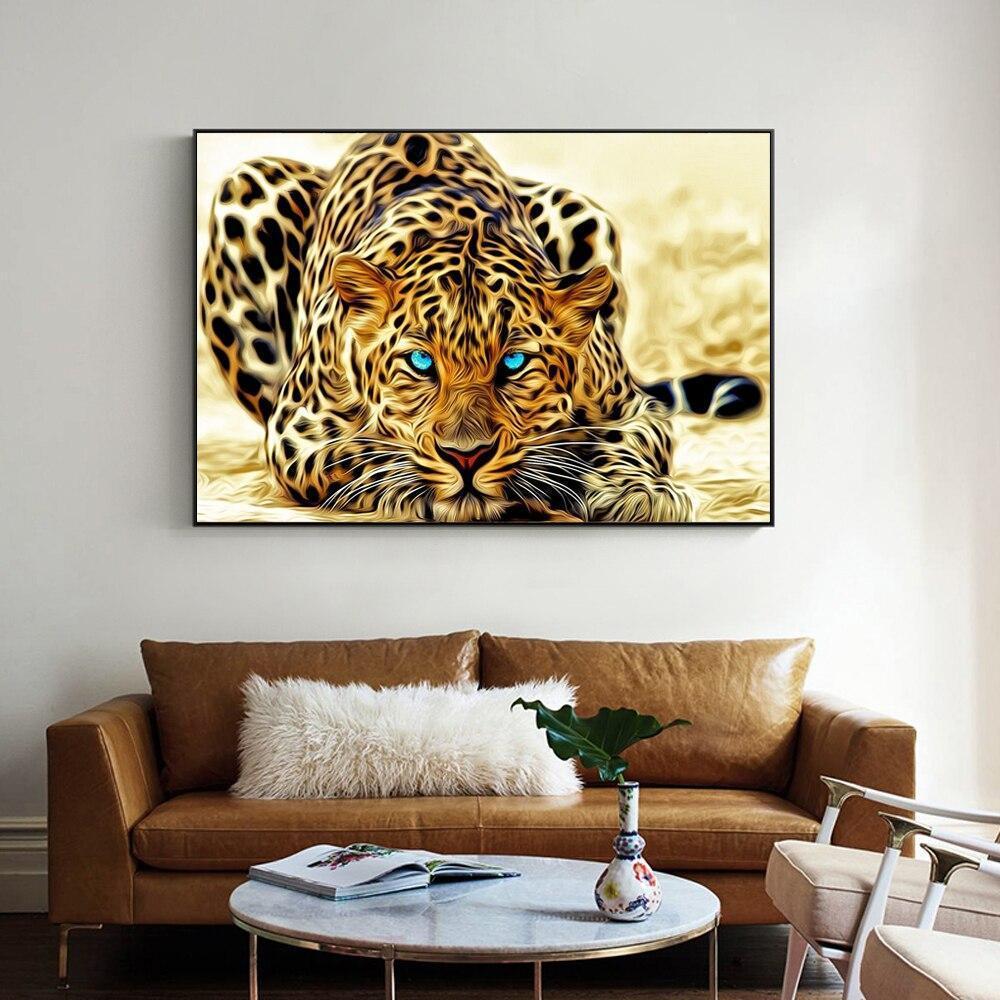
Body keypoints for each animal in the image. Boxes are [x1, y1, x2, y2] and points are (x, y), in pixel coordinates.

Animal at [199, 131, 760, 522]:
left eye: (514, 362)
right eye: (420, 362)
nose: (465, 458)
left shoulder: (634, 409)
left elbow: (621, 443)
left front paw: (638, 491)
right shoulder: (296, 426)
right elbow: (356, 451)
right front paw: (406, 484)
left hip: (581, 209)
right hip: (246, 185)